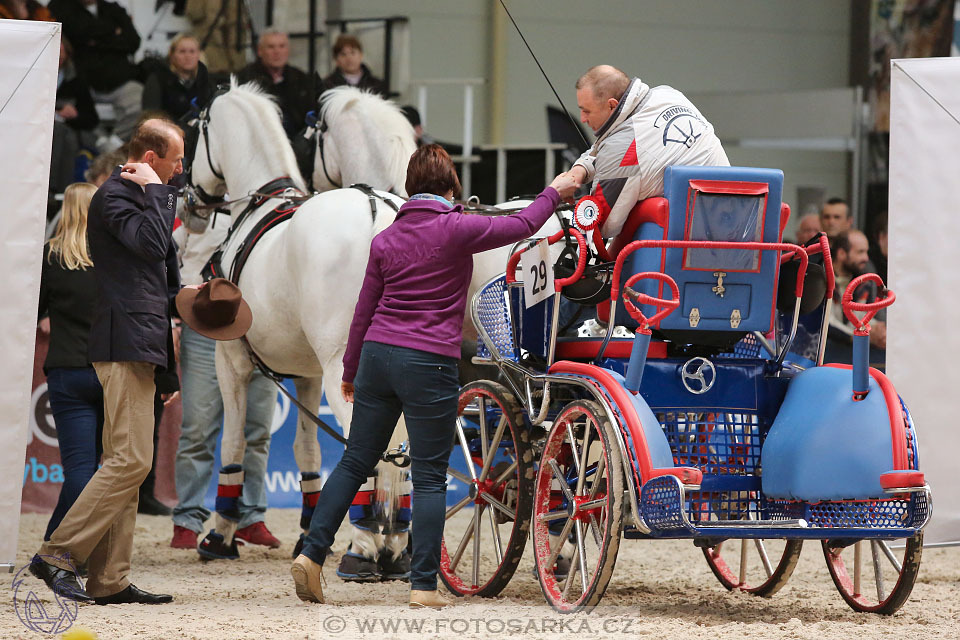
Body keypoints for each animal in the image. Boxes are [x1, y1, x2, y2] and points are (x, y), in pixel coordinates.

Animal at [189, 79, 410, 576]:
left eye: (196, 132)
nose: (190, 198)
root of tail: (379, 209)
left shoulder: (231, 362)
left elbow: (232, 445)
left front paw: (220, 533)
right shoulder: (307, 375)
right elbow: (308, 450)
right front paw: (309, 530)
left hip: (342, 371)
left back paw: (364, 544)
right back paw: (396, 543)